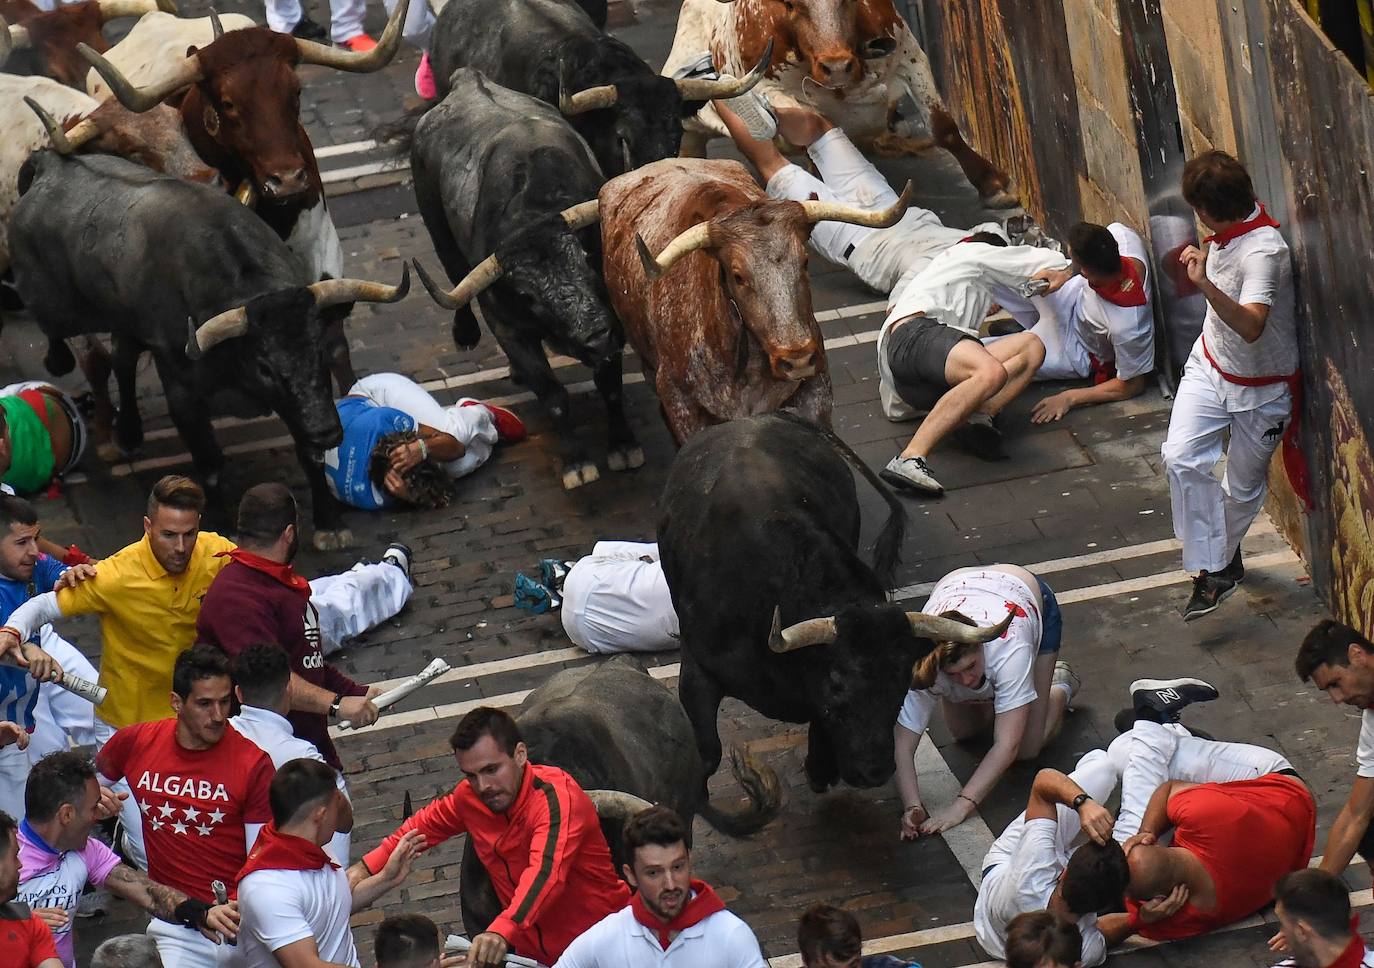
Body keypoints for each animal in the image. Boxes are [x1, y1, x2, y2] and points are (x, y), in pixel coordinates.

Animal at [9, 150, 406, 543]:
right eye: (265, 367)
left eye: (320, 351)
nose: (328, 432)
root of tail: (50, 163)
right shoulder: (183, 395)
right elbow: (210, 464)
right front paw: (221, 525)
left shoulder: (303, 403)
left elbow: (311, 455)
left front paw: (329, 523)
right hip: (55, 306)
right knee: (62, 337)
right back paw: (63, 365)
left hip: (126, 322)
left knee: (123, 359)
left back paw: (130, 433)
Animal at [409, 67, 640, 486]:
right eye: (527, 295)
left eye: (586, 259)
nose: (595, 336)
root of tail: (465, 79)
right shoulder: (509, 328)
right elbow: (553, 397)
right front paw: (576, 463)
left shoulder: (613, 318)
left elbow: (610, 383)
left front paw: (623, 446)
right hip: (436, 227)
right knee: (454, 272)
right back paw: (465, 335)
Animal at [654, 411, 1011, 796]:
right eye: (837, 684)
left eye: (902, 681)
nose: (875, 772)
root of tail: (762, 416)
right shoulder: (697, 670)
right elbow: (707, 754)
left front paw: (820, 768)